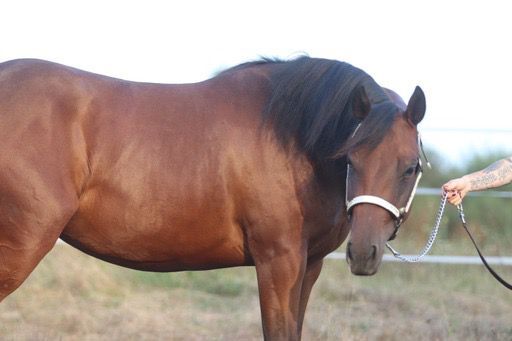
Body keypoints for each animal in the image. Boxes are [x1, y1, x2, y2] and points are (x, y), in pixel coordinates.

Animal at [0, 57, 424, 338]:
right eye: (351, 158)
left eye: (410, 167)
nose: (364, 253)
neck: (292, 137)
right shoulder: (278, 262)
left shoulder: (310, 266)